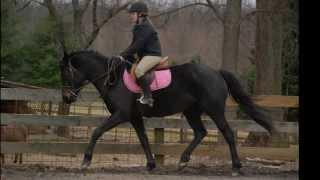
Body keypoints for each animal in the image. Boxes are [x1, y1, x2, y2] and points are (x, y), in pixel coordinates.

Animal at [59, 50, 278, 175]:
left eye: (67, 72)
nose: (66, 98)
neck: (113, 79)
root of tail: (216, 72)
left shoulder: (121, 115)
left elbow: (97, 131)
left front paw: (85, 162)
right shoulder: (135, 117)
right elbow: (143, 139)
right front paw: (150, 165)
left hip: (214, 110)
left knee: (228, 133)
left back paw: (236, 167)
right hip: (191, 112)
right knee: (200, 133)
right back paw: (182, 161)